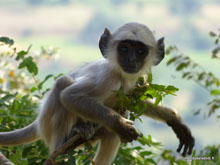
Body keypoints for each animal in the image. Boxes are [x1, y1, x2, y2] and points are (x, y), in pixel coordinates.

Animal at [0, 22, 194, 164]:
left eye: (140, 51)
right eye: (124, 48)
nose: (131, 60)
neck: (122, 76)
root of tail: (39, 121)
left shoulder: (140, 81)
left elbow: (139, 103)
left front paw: (175, 120)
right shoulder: (108, 78)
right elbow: (70, 96)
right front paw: (121, 124)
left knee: (114, 128)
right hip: (49, 126)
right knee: (63, 83)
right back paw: (66, 141)